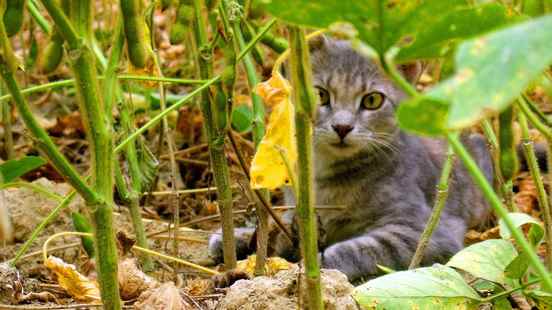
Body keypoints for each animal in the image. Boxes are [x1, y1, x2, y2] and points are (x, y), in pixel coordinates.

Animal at [209, 37, 494, 284]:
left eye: (373, 100)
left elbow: (362, 248)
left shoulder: (428, 232)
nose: (342, 127)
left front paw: (316, 263)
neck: (323, 175)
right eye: (321, 95)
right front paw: (241, 238)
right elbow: (281, 223)